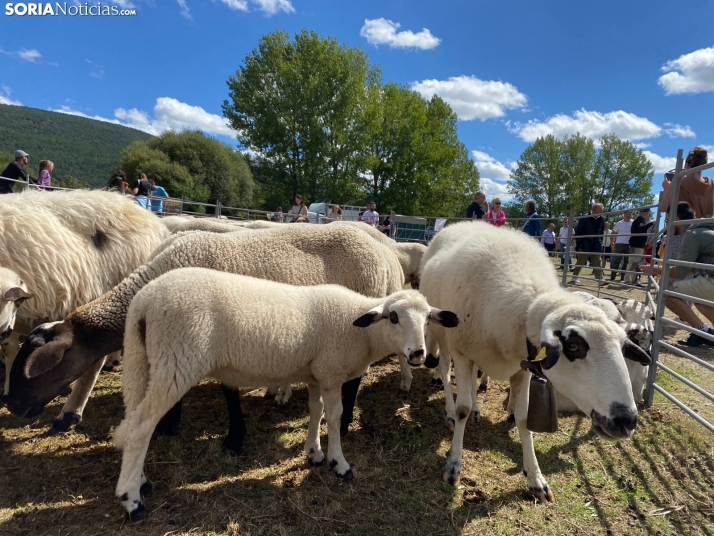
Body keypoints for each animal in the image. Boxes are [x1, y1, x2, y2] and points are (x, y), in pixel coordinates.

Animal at [4, 222, 406, 448]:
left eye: (39, 366)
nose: (12, 406)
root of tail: (385, 253)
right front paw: (170, 423)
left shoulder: (222, 335)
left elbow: (228, 391)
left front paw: (232, 438)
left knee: (355, 377)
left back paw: (348, 419)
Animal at [111, 270, 456, 520]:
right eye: (394, 317)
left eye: (428, 318)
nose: (417, 355)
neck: (361, 332)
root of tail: (144, 301)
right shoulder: (331, 372)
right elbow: (334, 417)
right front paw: (339, 463)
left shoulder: (316, 374)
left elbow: (316, 411)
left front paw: (314, 453)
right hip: (176, 361)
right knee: (141, 427)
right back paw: (132, 501)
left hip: (142, 360)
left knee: (130, 424)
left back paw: (140, 481)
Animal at [418, 222, 652, 502]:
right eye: (573, 346)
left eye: (621, 343)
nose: (627, 421)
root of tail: (463, 224)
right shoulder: (462, 355)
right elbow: (462, 407)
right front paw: (453, 465)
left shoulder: (523, 368)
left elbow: (522, 417)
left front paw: (536, 479)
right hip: (442, 335)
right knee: (444, 372)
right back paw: (450, 411)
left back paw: (476, 408)